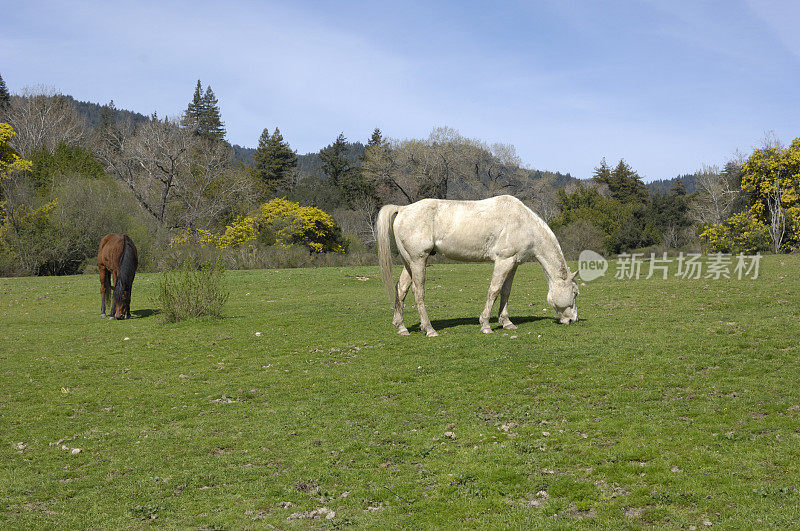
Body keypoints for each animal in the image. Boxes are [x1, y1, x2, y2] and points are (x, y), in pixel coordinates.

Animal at [378, 195, 580, 336]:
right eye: (575, 293)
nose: (572, 320)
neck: (523, 223)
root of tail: (403, 209)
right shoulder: (503, 261)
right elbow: (494, 290)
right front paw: (485, 325)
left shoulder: (513, 263)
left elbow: (506, 292)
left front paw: (507, 322)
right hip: (418, 260)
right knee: (418, 292)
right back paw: (429, 329)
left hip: (409, 262)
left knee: (401, 289)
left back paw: (401, 327)